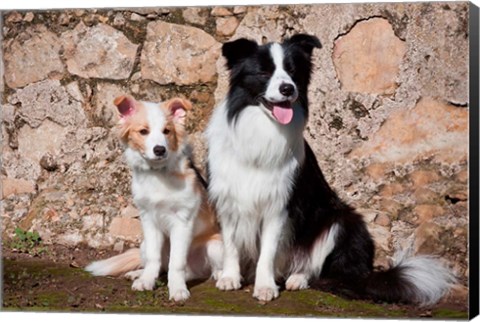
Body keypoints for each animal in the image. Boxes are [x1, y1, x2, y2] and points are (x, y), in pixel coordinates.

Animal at [86, 95, 223, 302]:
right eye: (144, 131)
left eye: (167, 131)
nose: (160, 150)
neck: (158, 175)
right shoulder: (149, 220)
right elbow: (153, 258)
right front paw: (145, 281)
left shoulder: (182, 222)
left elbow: (176, 263)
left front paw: (177, 289)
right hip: (143, 243)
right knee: (162, 267)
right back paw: (138, 273)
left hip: (215, 246)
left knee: (199, 269)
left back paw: (221, 276)